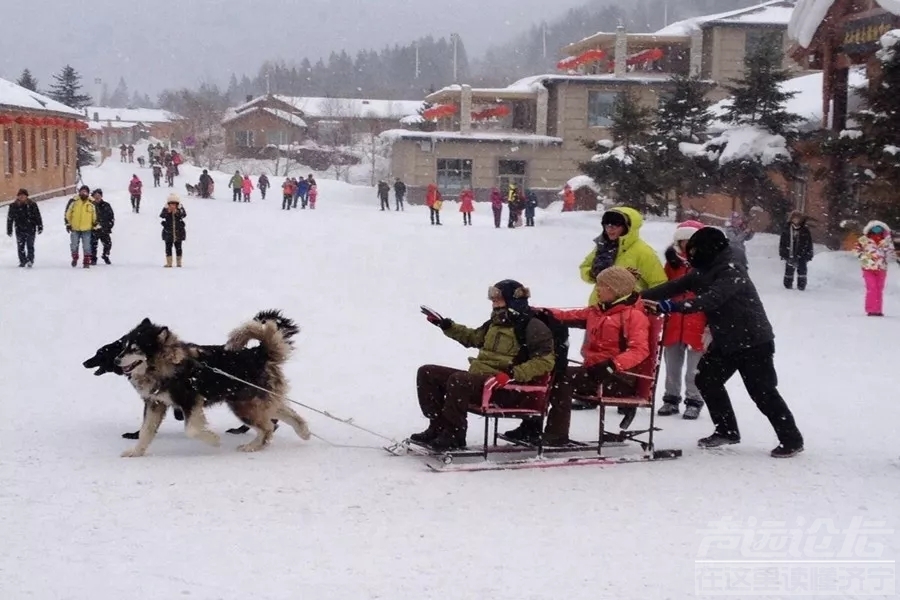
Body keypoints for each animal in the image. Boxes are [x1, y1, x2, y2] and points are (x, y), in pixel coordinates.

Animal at [100, 312, 312, 458]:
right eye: (123, 346)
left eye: (134, 349)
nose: (117, 360)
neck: (167, 364)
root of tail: (257, 353)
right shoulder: (155, 403)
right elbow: (145, 431)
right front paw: (136, 451)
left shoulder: (190, 402)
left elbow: (191, 429)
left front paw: (214, 440)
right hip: (257, 401)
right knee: (289, 414)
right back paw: (303, 432)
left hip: (244, 405)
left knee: (268, 427)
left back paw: (252, 446)